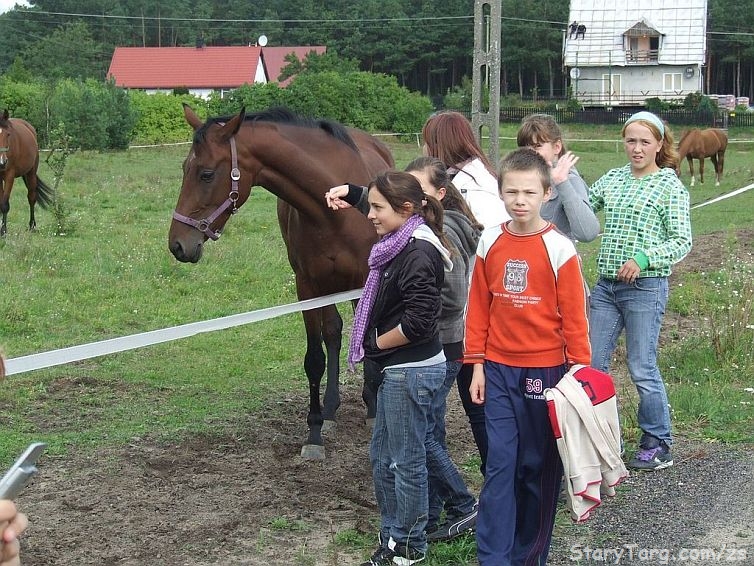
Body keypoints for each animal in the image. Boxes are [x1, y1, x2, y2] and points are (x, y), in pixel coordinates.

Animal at [168, 105, 394, 462]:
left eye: (206, 174)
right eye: (184, 168)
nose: (178, 245)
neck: (332, 211)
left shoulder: (363, 280)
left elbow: (367, 343)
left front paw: (373, 410)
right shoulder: (307, 286)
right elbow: (315, 359)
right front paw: (314, 433)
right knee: (333, 333)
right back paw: (330, 410)